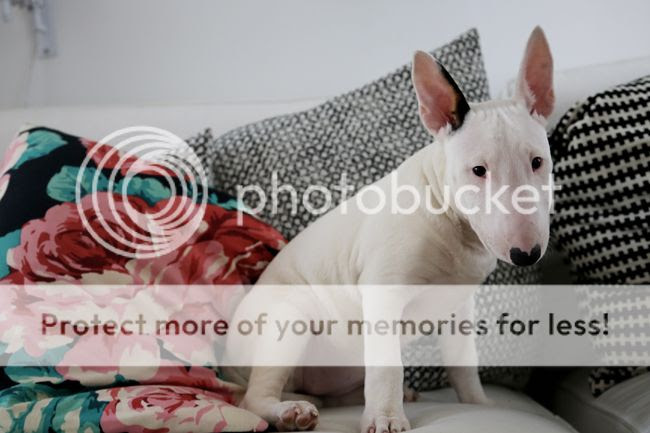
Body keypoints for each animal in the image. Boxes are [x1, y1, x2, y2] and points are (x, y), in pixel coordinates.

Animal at [224, 26, 554, 433]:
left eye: (537, 162)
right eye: (478, 170)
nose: (526, 254)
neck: (451, 219)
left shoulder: (458, 308)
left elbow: (464, 364)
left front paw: (481, 405)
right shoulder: (384, 292)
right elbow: (388, 367)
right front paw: (385, 418)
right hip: (290, 317)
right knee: (256, 398)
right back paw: (291, 412)